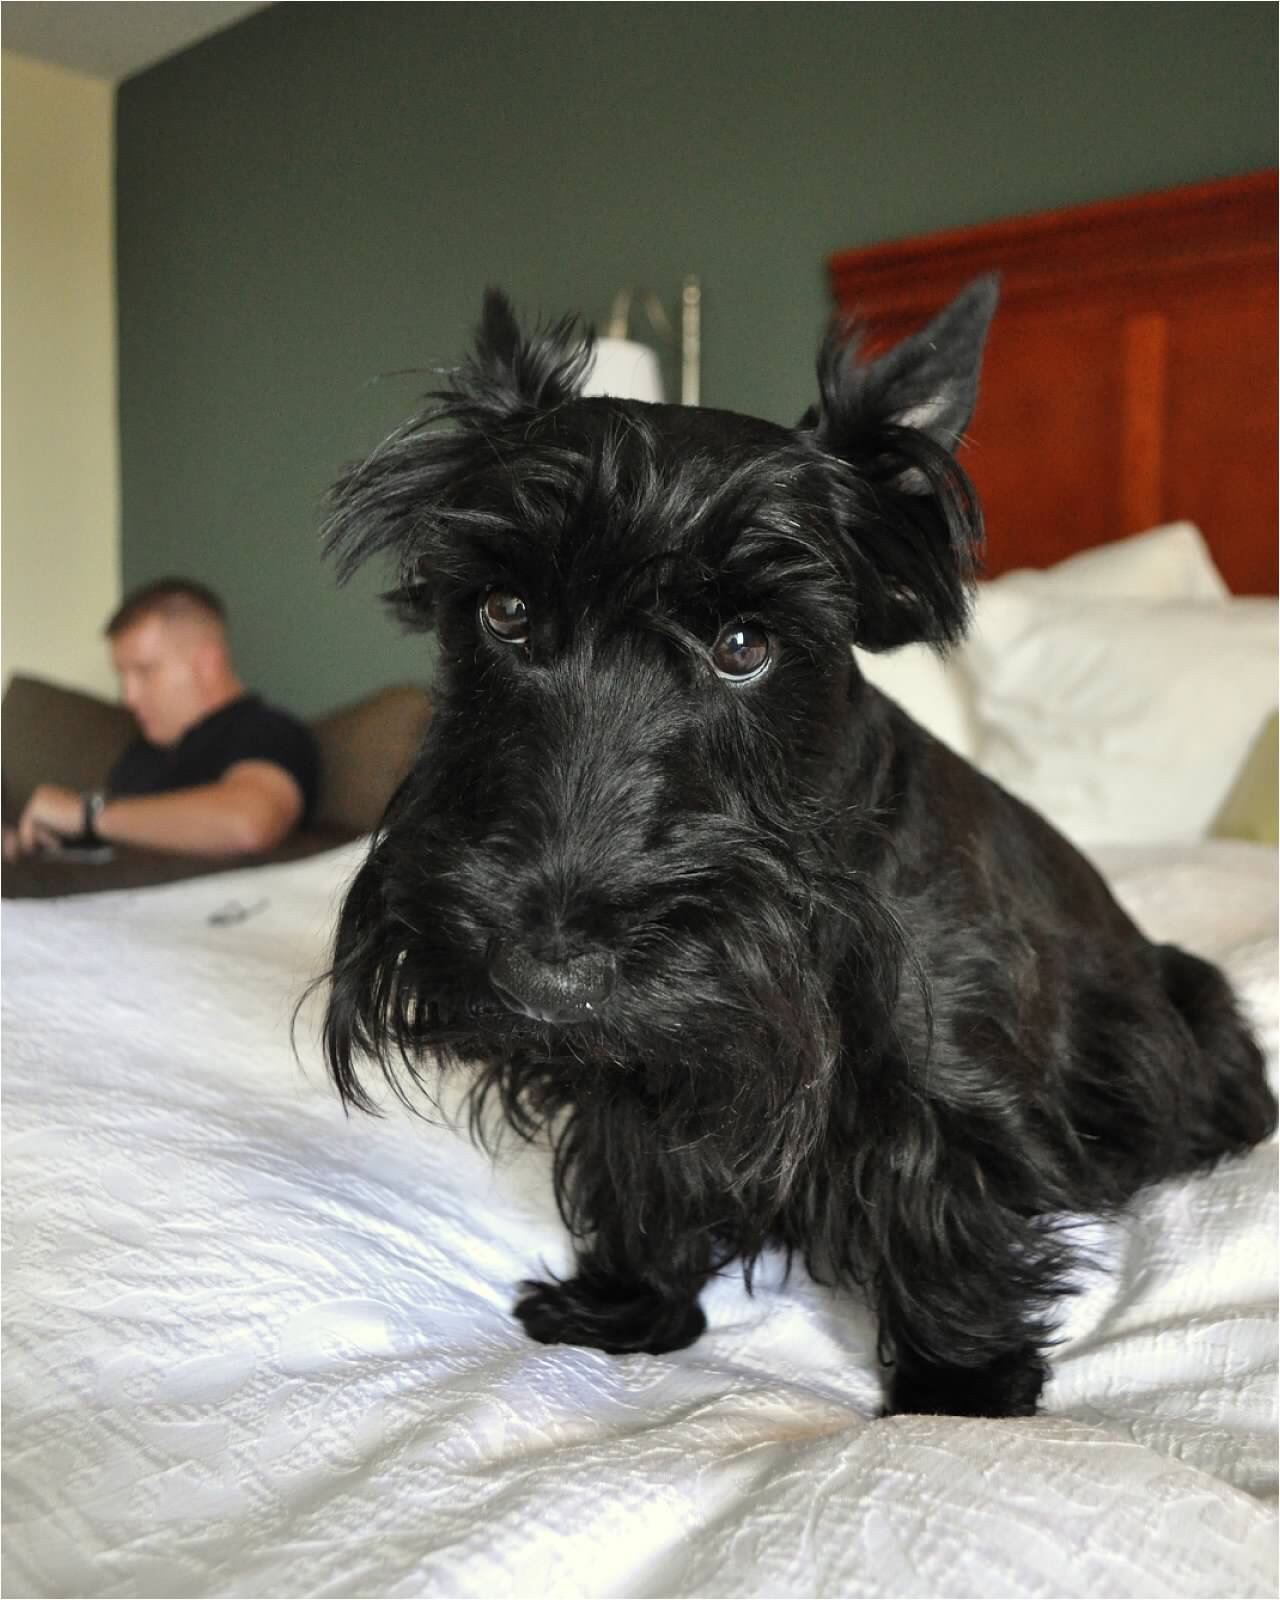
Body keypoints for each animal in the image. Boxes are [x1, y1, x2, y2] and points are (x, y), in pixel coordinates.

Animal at [320, 280, 1277, 1418]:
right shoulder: (640, 1071)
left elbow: (941, 1209)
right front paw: (623, 1305)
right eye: (505, 611)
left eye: (746, 644)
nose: (545, 976)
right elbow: (633, 1167)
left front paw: (959, 1389)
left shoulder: (945, 1087)